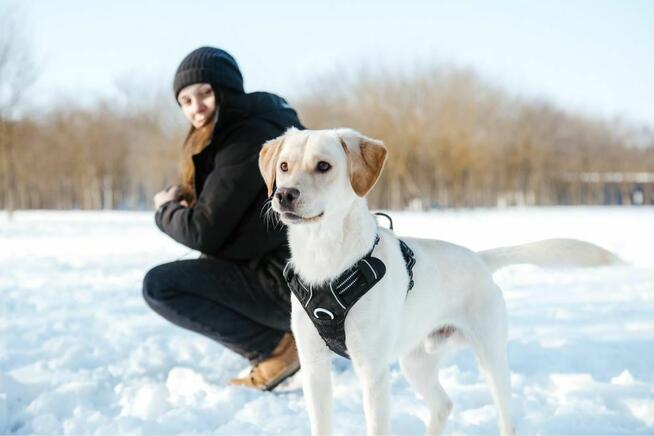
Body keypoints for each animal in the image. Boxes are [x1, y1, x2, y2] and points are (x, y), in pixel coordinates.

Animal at [258, 127, 619, 435]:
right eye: (284, 166)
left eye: (324, 166)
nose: (284, 194)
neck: (325, 258)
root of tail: (479, 258)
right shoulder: (314, 367)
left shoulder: (372, 369)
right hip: (415, 361)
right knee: (444, 404)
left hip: (490, 356)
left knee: (506, 417)